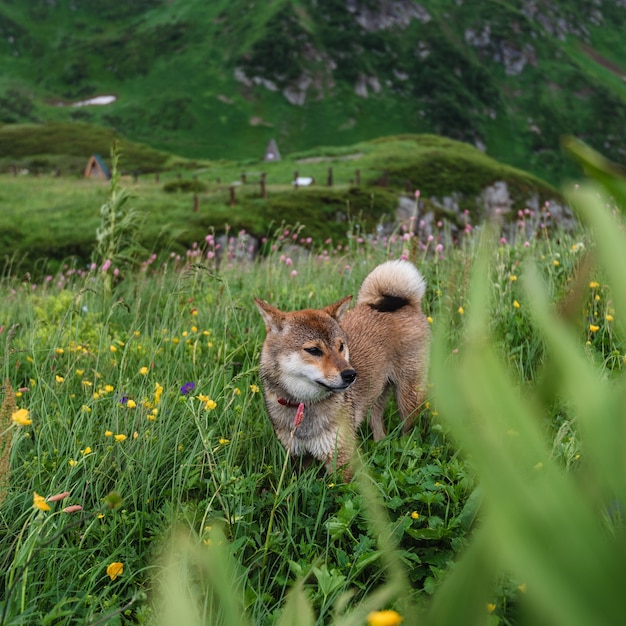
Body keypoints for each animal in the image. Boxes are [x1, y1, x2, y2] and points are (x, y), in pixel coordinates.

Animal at [255, 258, 428, 478]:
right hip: (377, 394)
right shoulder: (298, 457)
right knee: (377, 423)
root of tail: (407, 304)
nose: (351, 374)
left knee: (408, 431)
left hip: (408, 399)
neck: (304, 405)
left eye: (340, 346)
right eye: (314, 350)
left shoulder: (341, 460)